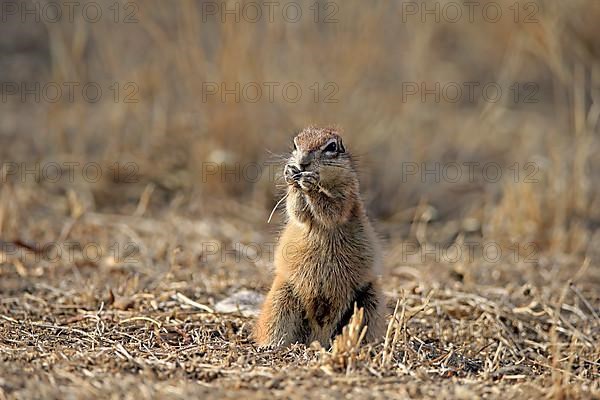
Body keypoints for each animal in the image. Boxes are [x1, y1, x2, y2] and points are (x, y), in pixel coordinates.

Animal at [254, 126, 384, 346]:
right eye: (295, 144)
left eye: (331, 147)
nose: (302, 162)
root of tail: (319, 336)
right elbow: (297, 211)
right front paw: (291, 175)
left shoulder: (347, 194)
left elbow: (332, 210)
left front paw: (309, 183)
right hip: (279, 298)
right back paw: (272, 345)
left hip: (370, 299)